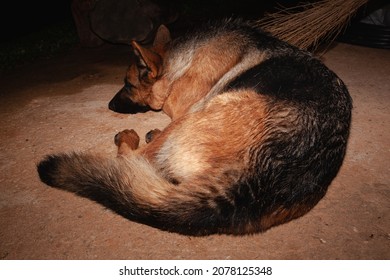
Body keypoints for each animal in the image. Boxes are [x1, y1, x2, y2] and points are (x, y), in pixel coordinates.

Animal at [37, 18, 354, 235]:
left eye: (128, 84)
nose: (110, 105)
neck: (181, 62)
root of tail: (251, 183)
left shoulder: (184, 107)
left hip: (199, 112)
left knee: (136, 158)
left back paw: (131, 139)